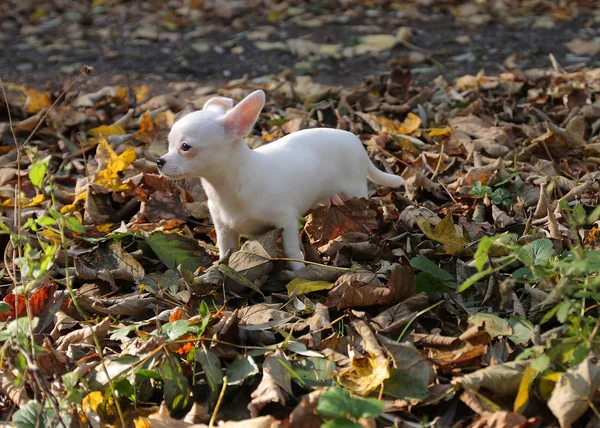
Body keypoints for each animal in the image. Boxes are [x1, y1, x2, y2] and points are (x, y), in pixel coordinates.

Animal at [157, 90, 406, 270]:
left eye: (185, 147)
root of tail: (357, 141)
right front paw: (219, 270)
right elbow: (226, 253)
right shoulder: (225, 231)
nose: (159, 161)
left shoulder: (286, 221)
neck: (227, 189)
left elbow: (291, 251)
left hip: (355, 190)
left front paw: (299, 273)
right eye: (168, 144)